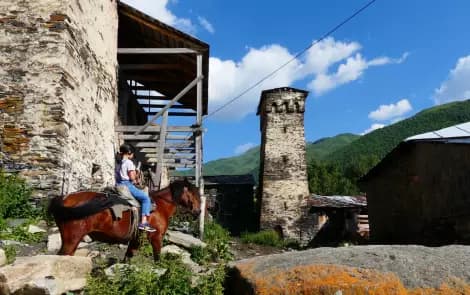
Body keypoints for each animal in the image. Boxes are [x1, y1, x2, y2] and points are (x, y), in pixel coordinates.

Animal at [48, 179, 200, 260]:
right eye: (194, 194)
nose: (198, 212)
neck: (160, 205)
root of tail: (64, 198)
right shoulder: (156, 238)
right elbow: (157, 259)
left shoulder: (135, 241)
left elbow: (127, 260)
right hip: (71, 241)